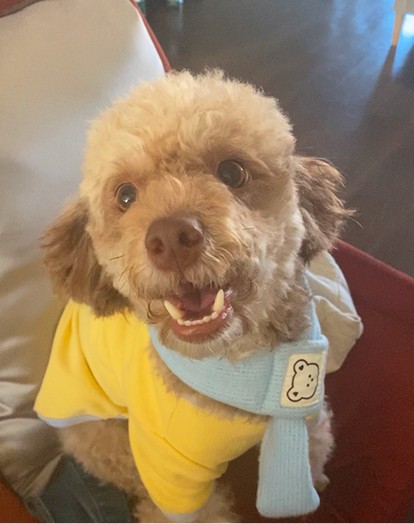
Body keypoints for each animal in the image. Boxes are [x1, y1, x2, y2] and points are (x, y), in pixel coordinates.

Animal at [37, 70, 350, 522]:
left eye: (232, 172)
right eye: (125, 195)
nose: (171, 238)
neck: (240, 367)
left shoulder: (305, 415)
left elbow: (314, 450)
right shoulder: (170, 471)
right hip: (102, 439)